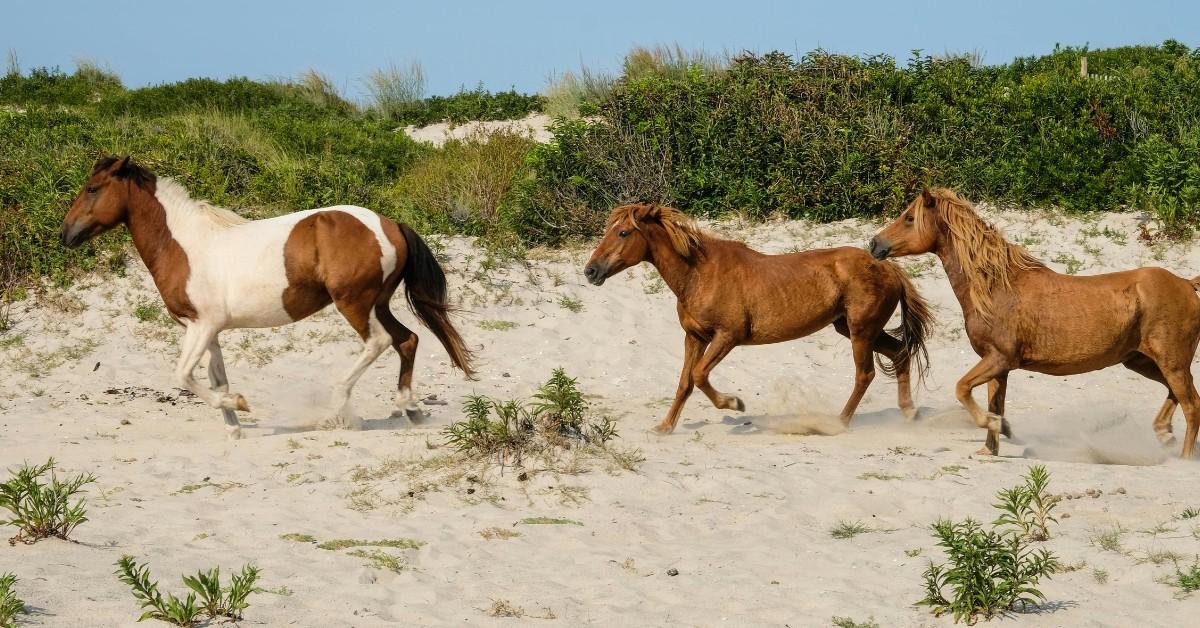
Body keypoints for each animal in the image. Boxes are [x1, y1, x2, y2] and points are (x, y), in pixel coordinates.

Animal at [61, 156, 475, 439]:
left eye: (93, 188)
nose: (66, 234)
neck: (184, 246)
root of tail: (389, 224)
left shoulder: (200, 326)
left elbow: (184, 376)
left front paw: (239, 406)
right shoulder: (210, 331)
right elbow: (216, 379)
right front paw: (234, 428)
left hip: (354, 303)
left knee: (380, 341)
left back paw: (339, 410)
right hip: (377, 302)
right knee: (408, 340)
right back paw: (411, 409)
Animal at [583, 203, 934, 434]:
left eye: (623, 232)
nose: (591, 271)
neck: (699, 274)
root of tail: (890, 267)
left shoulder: (728, 336)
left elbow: (699, 375)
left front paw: (734, 404)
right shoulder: (694, 337)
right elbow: (685, 382)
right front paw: (664, 427)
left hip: (861, 331)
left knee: (865, 374)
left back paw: (838, 423)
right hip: (853, 328)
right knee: (900, 353)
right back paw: (908, 413)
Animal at [869, 188, 1200, 457]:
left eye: (909, 218)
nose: (874, 244)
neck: (996, 288)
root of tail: (1186, 284)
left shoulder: (999, 358)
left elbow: (962, 389)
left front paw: (997, 426)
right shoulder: (998, 366)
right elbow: (994, 403)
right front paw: (992, 444)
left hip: (1171, 363)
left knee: (1192, 405)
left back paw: (1182, 458)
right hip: (1143, 362)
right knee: (1178, 396)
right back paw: (1164, 434)